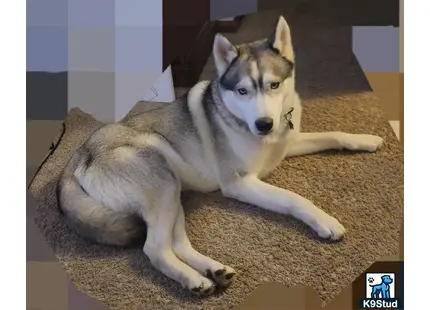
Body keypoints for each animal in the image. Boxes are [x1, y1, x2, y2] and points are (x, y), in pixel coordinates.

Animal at [56, 16, 382, 296]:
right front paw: (323, 220)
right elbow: (293, 198)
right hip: (162, 180)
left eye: (274, 85)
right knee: (155, 249)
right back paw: (193, 280)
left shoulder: (287, 143)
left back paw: (213, 270)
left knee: (177, 244)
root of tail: (77, 155)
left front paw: (367, 139)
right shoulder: (240, 183)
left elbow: (334, 134)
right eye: (242, 91)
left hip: (174, 192)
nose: (263, 124)